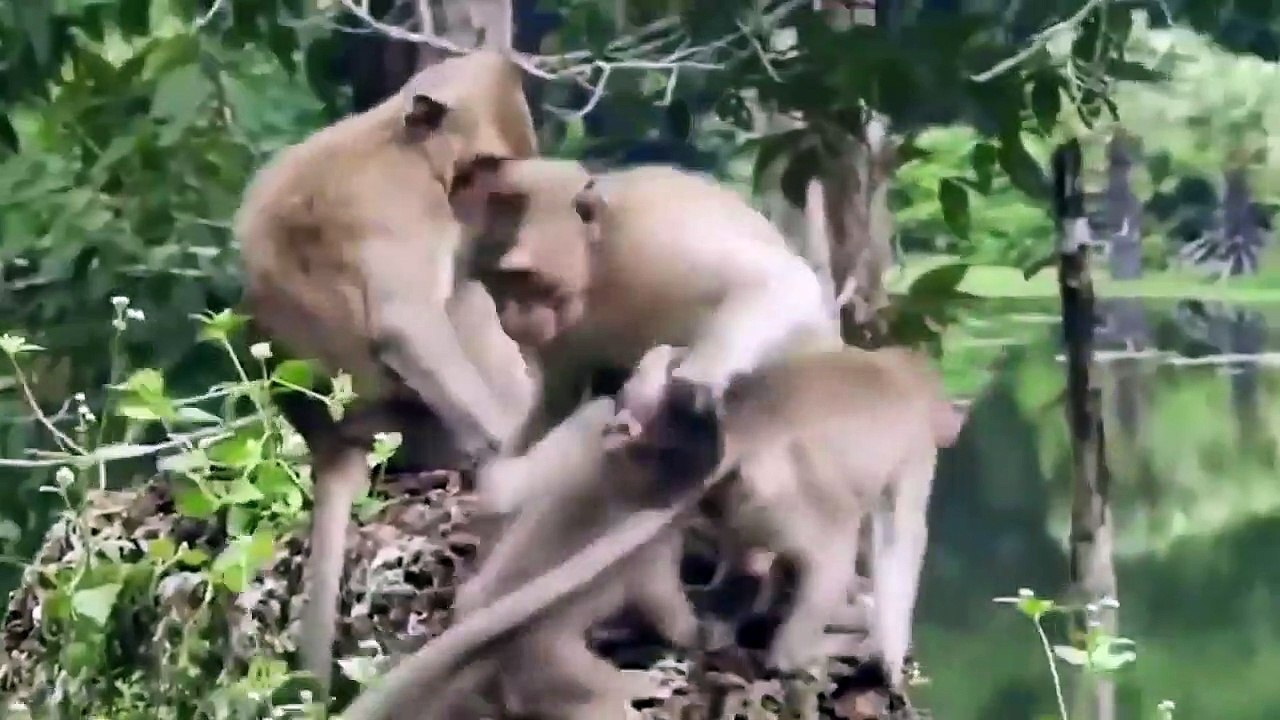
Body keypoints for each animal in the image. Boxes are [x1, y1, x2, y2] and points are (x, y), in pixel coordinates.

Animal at [234, 49, 539, 697]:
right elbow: (409, 324)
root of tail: (331, 442)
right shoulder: (410, 207)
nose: (482, 202)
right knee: (462, 302)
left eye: (498, 168)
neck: (404, 145)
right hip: (411, 432)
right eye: (482, 164)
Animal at [341, 343, 963, 720]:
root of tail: (744, 429)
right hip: (785, 495)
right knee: (823, 560)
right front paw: (888, 661)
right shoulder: (917, 452)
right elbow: (901, 537)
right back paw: (801, 650)